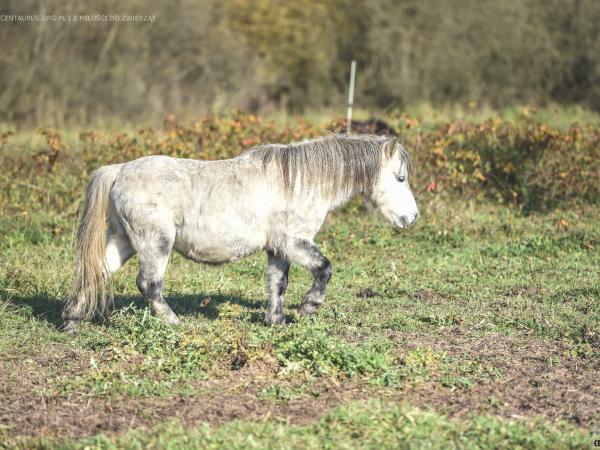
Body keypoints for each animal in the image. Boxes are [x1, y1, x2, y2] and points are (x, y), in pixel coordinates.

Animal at [61, 133, 418, 330]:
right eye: (400, 178)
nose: (412, 217)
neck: (300, 180)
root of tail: (120, 170)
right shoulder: (294, 241)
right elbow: (324, 269)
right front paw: (308, 307)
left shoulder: (278, 247)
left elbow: (277, 283)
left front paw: (276, 321)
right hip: (155, 243)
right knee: (149, 284)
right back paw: (174, 322)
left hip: (123, 240)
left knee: (97, 271)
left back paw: (72, 320)